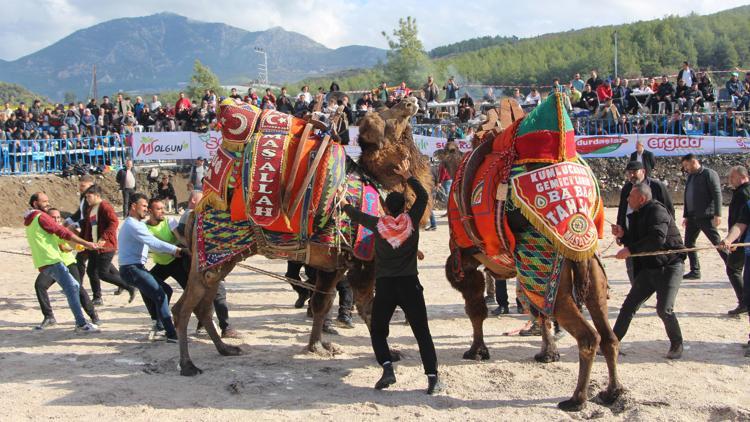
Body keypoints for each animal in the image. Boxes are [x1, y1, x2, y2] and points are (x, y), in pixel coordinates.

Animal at [172, 96, 434, 376]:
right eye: (384, 116)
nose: (409, 100)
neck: (384, 190)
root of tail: (195, 212)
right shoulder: (364, 261)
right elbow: (369, 307)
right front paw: (390, 353)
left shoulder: (334, 261)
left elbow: (321, 303)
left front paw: (318, 346)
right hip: (211, 254)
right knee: (184, 308)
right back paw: (188, 364)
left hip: (223, 261)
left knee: (202, 305)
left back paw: (225, 348)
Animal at [444, 93, 624, 412]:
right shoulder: (526, 266)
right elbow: (536, 309)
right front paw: (547, 353)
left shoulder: (466, 258)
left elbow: (475, 307)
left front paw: (477, 350)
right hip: (585, 265)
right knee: (608, 335)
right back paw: (612, 393)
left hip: (554, 267)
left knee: (588, 336)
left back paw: (576, 399)